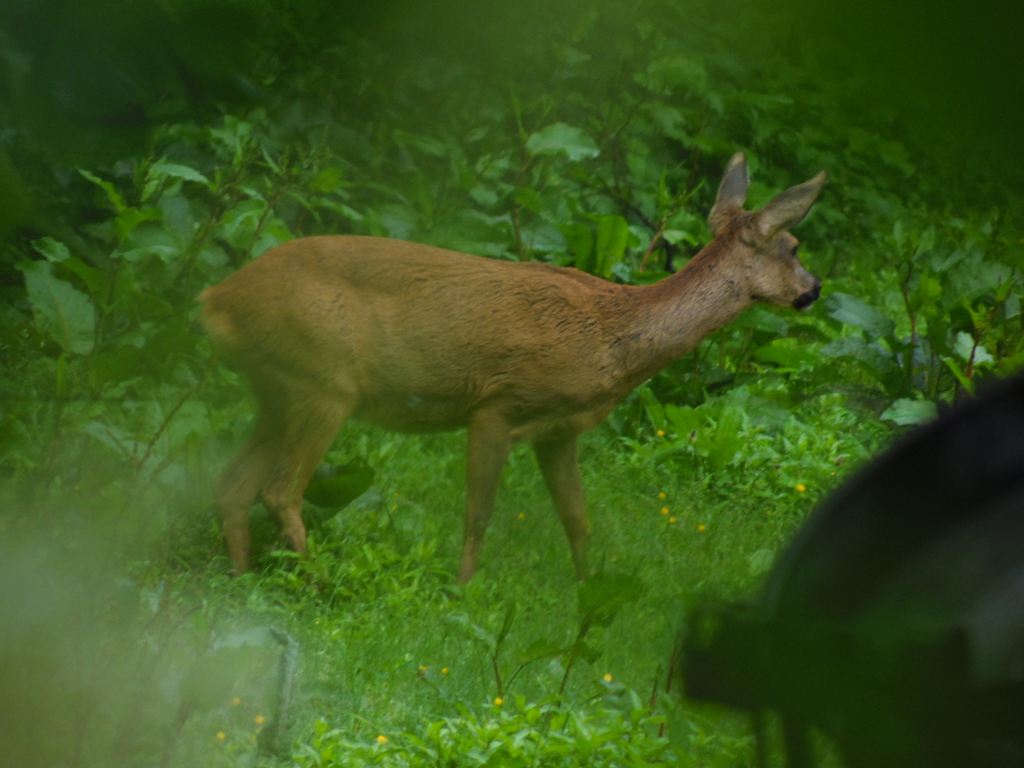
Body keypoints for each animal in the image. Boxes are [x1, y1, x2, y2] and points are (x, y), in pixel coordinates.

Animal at [203, 150, 827, 581]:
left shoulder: (558, 431)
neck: (612, 340)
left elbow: (577, 518)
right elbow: (478, 513)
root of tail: (217, 300)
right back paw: (315, 581)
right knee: (279, 491)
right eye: (794, 247)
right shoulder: (498, 406)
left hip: (279, 389)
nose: (815, 289)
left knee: (233, 485)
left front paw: (585, 593)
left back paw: (240, 578)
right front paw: (462, 591)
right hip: (324, 382)